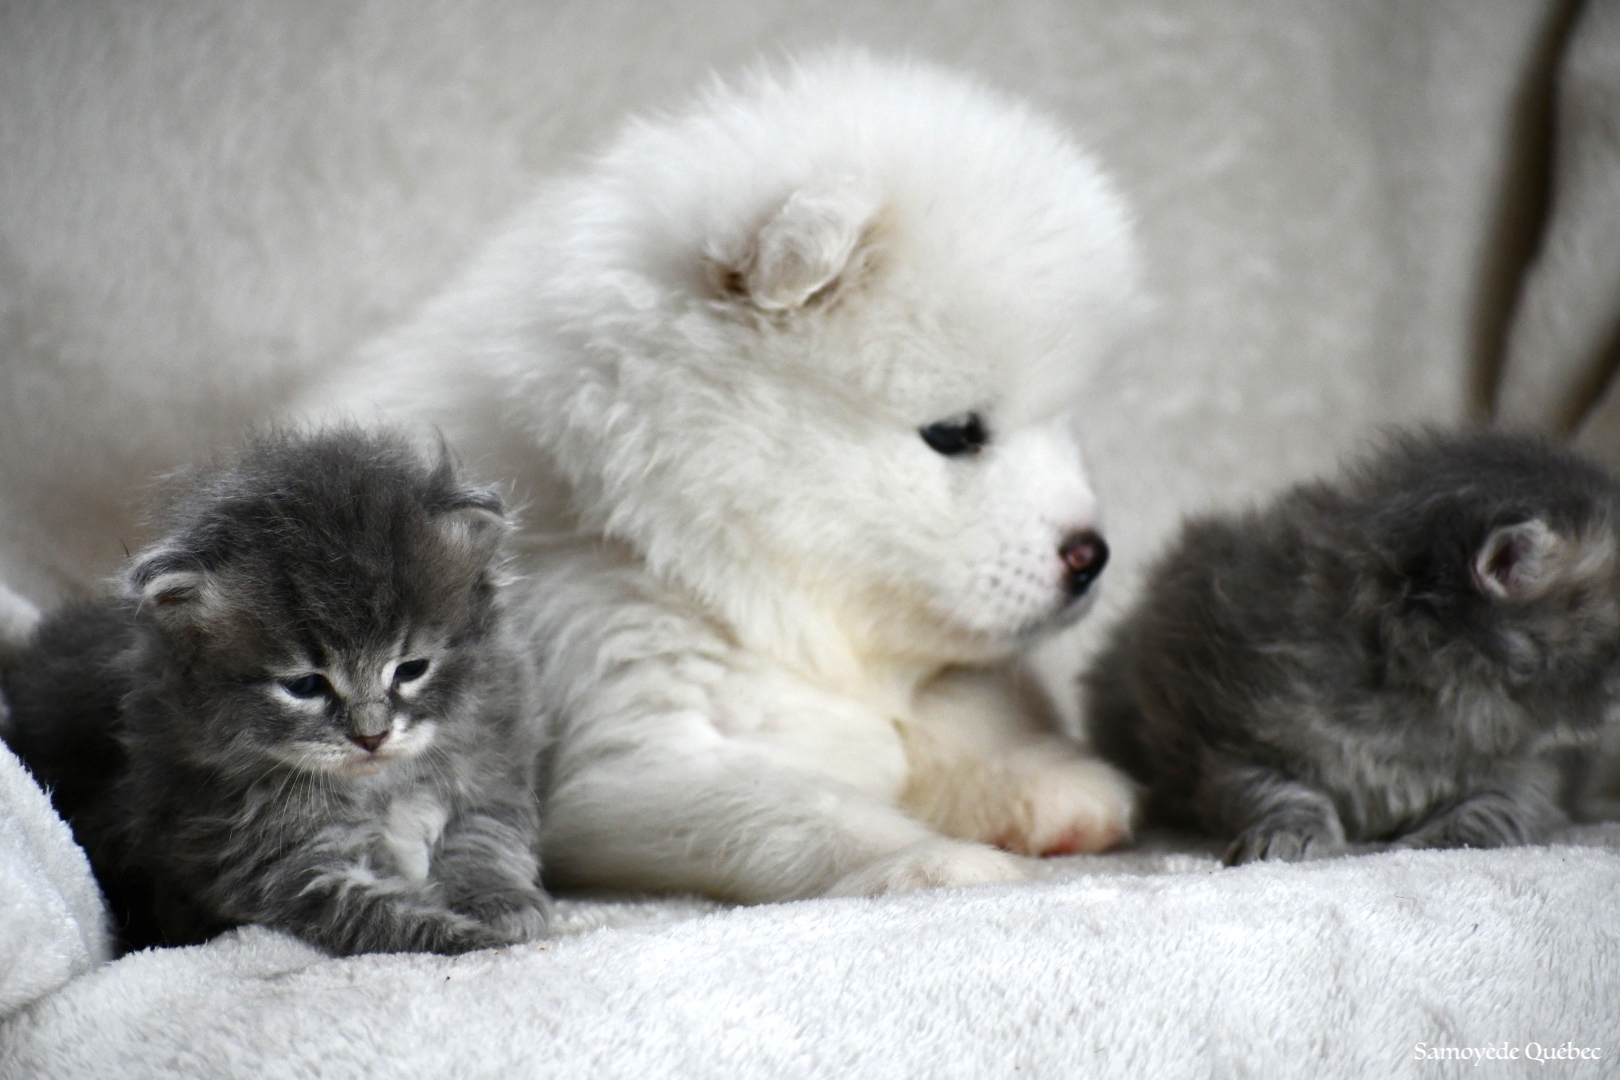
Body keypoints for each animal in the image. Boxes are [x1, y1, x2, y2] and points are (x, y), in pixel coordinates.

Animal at [0, 427, 550, 952]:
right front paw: (476, 939)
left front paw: (503, 905)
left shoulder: (489, 781)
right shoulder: (274, 872)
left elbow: (483, 845)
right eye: (305, 685)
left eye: (411, 669)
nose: (371, 737)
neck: (379, 788)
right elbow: (381, 918)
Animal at [298, 55, 1146, 906]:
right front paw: (933, 862)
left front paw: (1041, 779)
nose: (1091, 555)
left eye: (1063, 423)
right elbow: (798, 809)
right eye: (954, 434)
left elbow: (956, 709)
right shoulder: (631, 734)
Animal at [1082, 433, 1620, 867]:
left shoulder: (1536, 774)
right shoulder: (1218, 741)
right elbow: (1276, 791)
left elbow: (1497, 811)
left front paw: (1436, 842)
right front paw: (1287, 831)